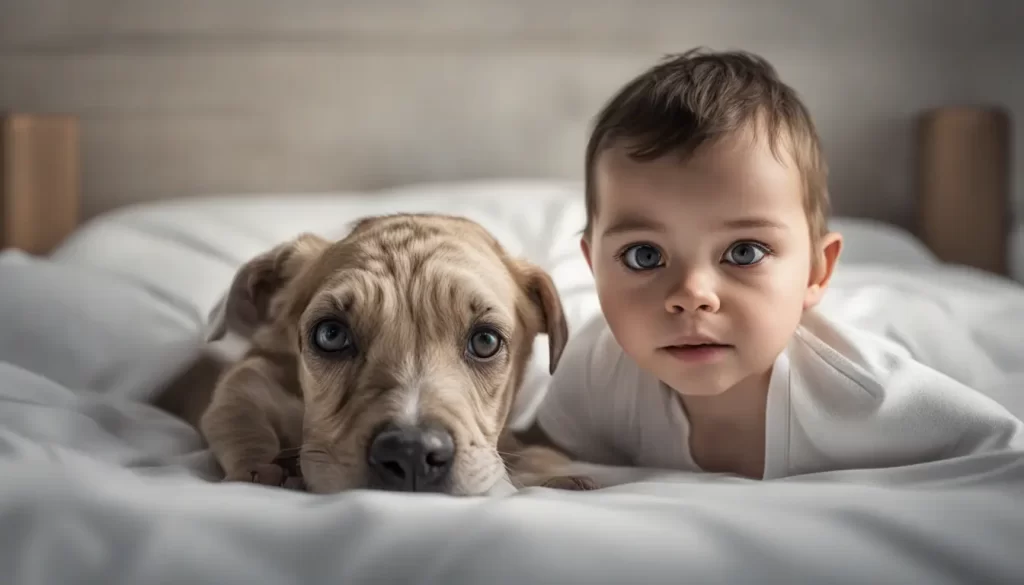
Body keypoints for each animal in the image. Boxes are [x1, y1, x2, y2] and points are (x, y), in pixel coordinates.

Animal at [197, 213, 593, 495]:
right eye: (331, 334)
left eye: (486, 341)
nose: (411, 452)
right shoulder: (251, 378)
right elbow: (239, 417)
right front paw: (259, 468)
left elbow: (529, 456)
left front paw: (554, 475)